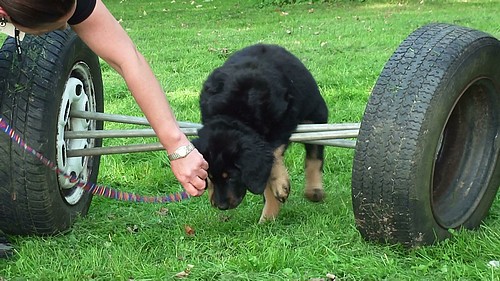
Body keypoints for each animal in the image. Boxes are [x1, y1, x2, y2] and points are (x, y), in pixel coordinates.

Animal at [193, 43, 330, 222]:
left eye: (231, 177)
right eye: (208, 175)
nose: (221, 206)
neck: (232, 113)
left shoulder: (285, 116)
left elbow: (273, 151)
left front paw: (280, 185)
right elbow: (265, 178)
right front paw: (269, 216)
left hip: (316, 113)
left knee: (315, 154)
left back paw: (314, 190)